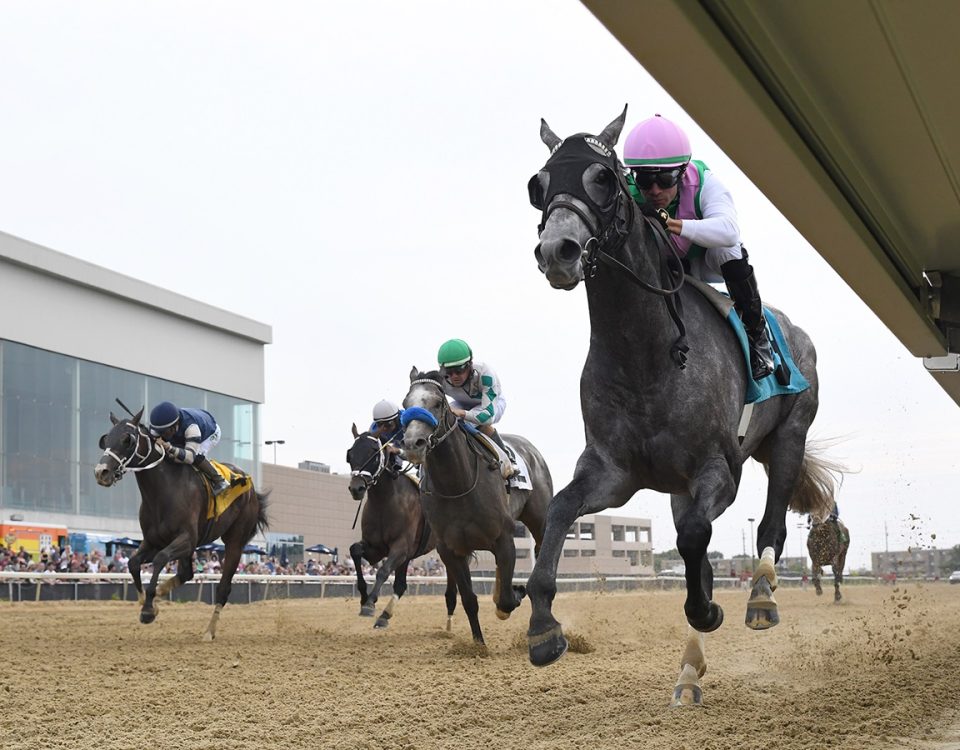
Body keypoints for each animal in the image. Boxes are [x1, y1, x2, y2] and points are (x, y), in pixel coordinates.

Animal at [93, 408, 268, 644]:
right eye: (106, 439)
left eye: (127, 439)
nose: (101, 472)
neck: (162, 491)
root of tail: (251, 487)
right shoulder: (153, 540)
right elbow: (133, 563)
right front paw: (146, 602)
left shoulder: (185, 539)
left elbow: (160, 559)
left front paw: (148, 609)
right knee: (186, 573)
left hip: (235, 542)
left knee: (223, 588)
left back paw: (209, 631)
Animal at [346, 426, 460, 632]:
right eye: (350, 454)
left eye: (374, 453)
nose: (356, 488)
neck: (384, 501)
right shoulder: (375, 547)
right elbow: (355, 550)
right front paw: (364, 598)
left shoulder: (401, 547)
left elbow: (383, 571)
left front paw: (370, 604)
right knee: (401, 585)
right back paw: (385, 616)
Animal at [404, 370, 556, 648]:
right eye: (404, 404)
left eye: (438, 403)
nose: (413, 443)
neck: (458, 484)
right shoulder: (450, 550)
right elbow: (469, 599)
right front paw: (479, 645)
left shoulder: (504, 539)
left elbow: (506, 599)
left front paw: (515, 594)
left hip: (539, 518)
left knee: (543, 548)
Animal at [524, 108, 840, 708]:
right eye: (539, 184)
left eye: (604, 178)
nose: (558, 251)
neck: (644, 353)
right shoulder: (613, 473)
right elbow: (559, 511)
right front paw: (543, 627)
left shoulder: (718, 469)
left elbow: (696, 539)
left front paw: (709, 608)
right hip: (675, 484)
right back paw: (689, 671)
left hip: (789, 437)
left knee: (770, 529)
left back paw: (760, 597)